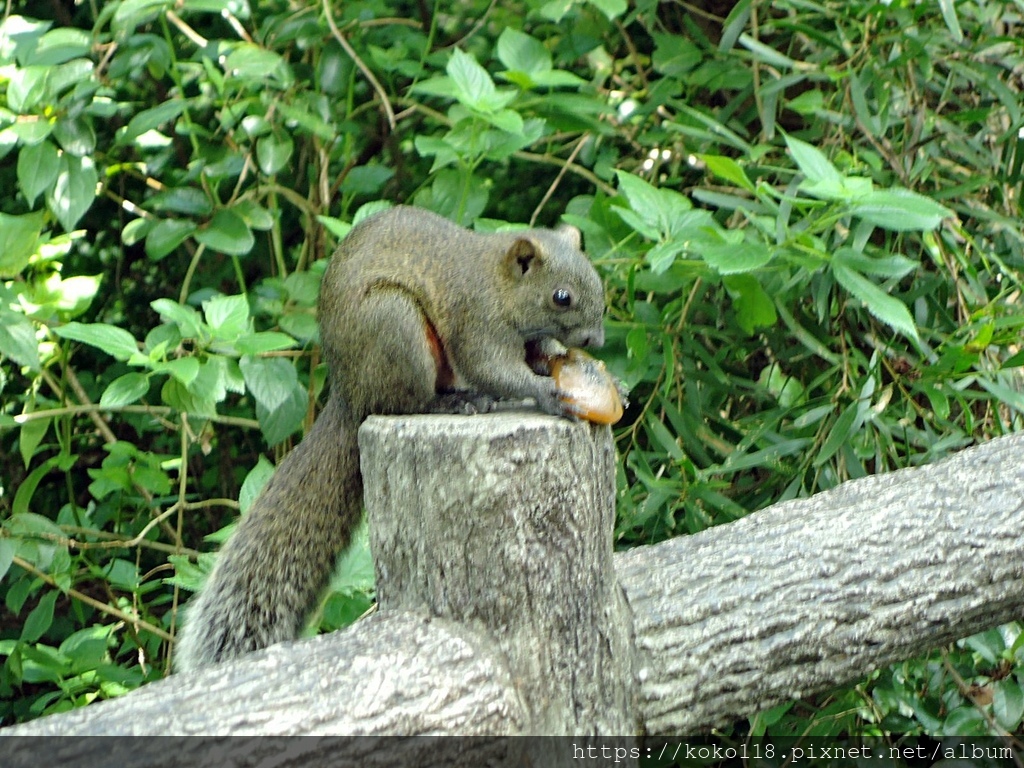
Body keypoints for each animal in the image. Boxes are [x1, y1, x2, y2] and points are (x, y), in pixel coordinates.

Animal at [176, 207, 606, 671]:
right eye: (561, 297)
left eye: (595, 279)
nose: (596, 340)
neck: (499, 281)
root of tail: (349, 394)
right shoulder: (476, 319)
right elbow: (490, 366)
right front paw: (549, 393)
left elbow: (537, 354)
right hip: (393, 326)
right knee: (403, 402)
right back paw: (454, 402)